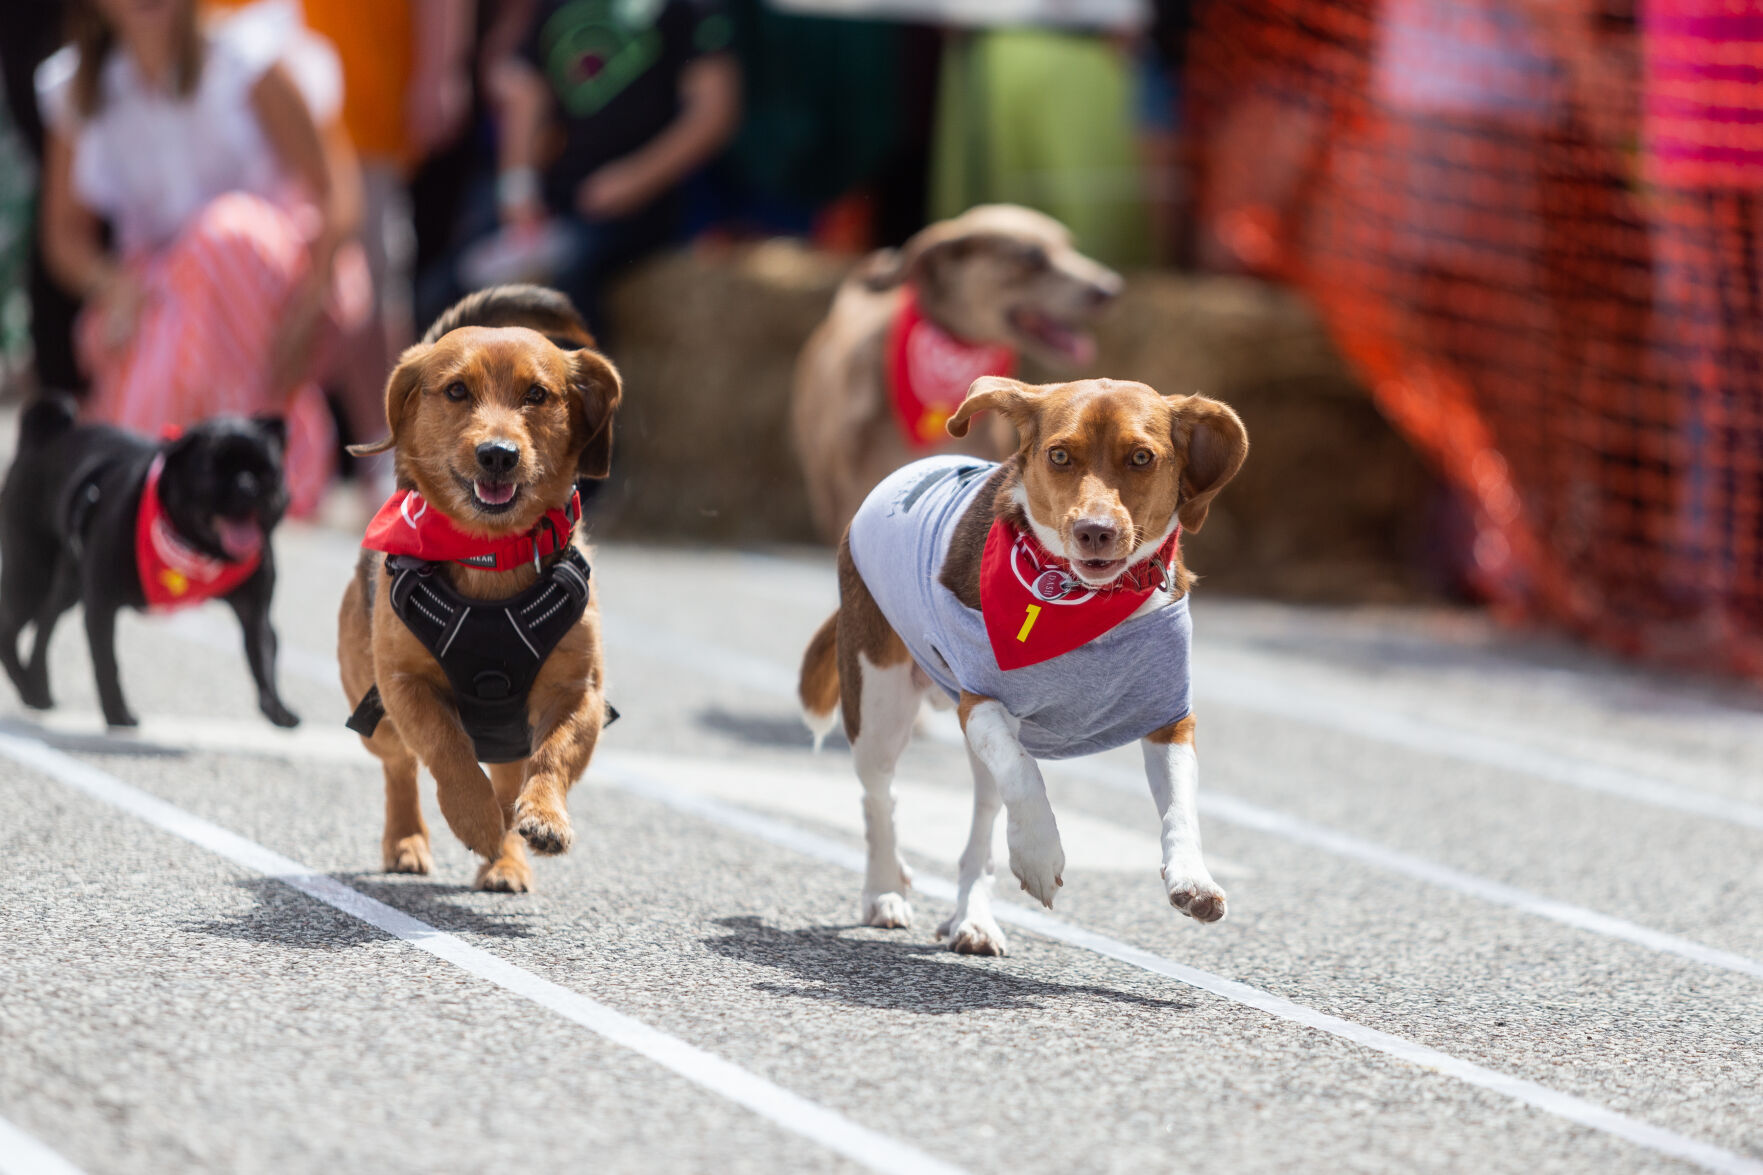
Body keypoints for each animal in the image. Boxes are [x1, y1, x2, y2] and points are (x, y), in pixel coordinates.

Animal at [338, 284, 627, 889]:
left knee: (510, 778)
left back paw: (506, 861)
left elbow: (552, 757)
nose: (498, 454)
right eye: (456, 390)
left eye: (538, 394)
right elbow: (447, 747)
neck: (491, 555)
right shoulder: (404, 685)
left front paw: (543, 818)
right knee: (401, 767)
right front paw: (472, 818)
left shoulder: (578, 694)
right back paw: (407, 842)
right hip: (375, 713)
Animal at [793, 375, 1248, 952]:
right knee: (882, 801)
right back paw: (884, 892)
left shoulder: (1168, 716)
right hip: (877, 707)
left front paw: (1193, 878)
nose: (1095, 531)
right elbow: (1024, 771)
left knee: (983, 824)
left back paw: (972, 918)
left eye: (1142, 457)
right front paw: (1038, 854)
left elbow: (1180, 807)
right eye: (1059, 455)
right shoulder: (983, 701)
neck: (1088, 604)